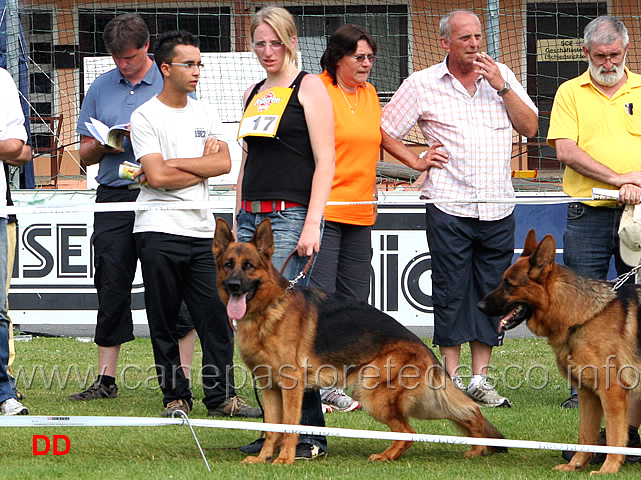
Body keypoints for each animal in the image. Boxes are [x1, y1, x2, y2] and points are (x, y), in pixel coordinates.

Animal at [214, 218, 504, 464]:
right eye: (228, 264)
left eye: (248, 266)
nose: (234, 285)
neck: (268, 308)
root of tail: (423, 347)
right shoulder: (269, 386)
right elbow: (272, 427)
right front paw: (263, 458)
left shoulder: (291, 386)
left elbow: (289, 426)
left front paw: (284, 459)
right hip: (416, 400)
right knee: (466, 413)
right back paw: (478, 447)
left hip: (373, 393)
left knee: (411, 431)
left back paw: (389, 455)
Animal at [478, 231, 640, 474]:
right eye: (503, 281)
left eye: (508, 284)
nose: (479, 306)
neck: (582, 316)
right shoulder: (587, 394)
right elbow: (585, 434)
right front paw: (576, 464)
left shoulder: (612, 393)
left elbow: (614, 435)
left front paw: (608, 468)